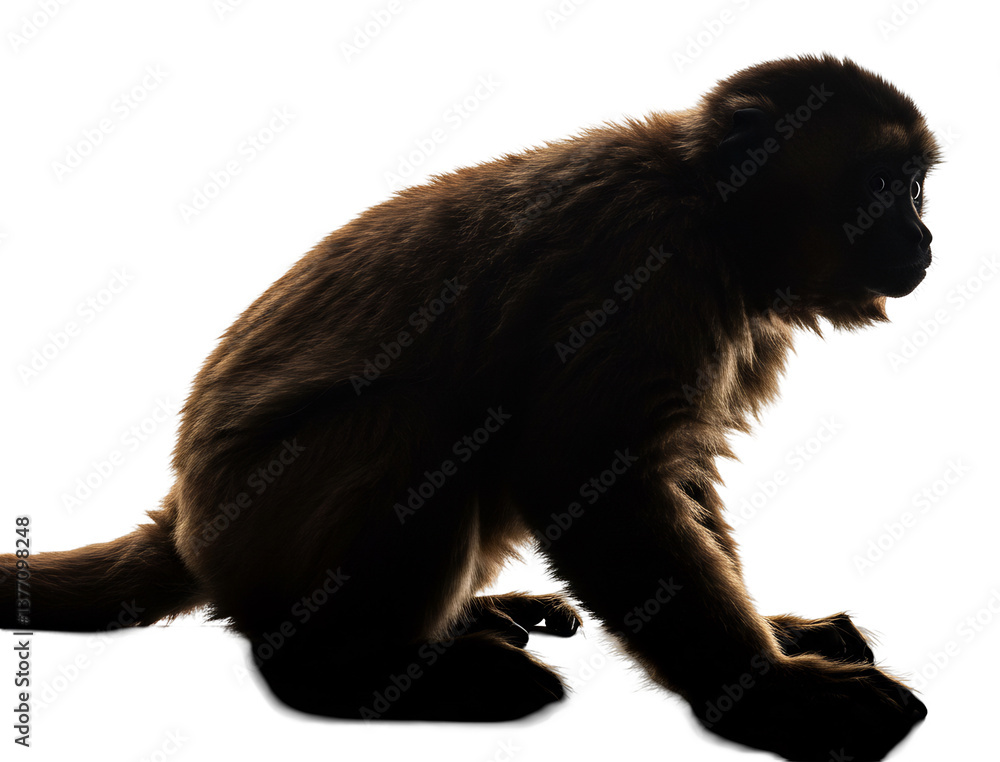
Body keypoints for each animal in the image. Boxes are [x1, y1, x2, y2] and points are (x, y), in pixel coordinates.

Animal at [1, 54, 939, 760]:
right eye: (882, 186)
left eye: (917, 189)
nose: (926, 237)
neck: (710, 211)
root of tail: (186, 517)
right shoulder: (646, 261)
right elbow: (589, 473)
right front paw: (770, 696)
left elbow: (677, 473)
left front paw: (776, 637)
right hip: (257, 529)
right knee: (425, 427)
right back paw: (340, 669)